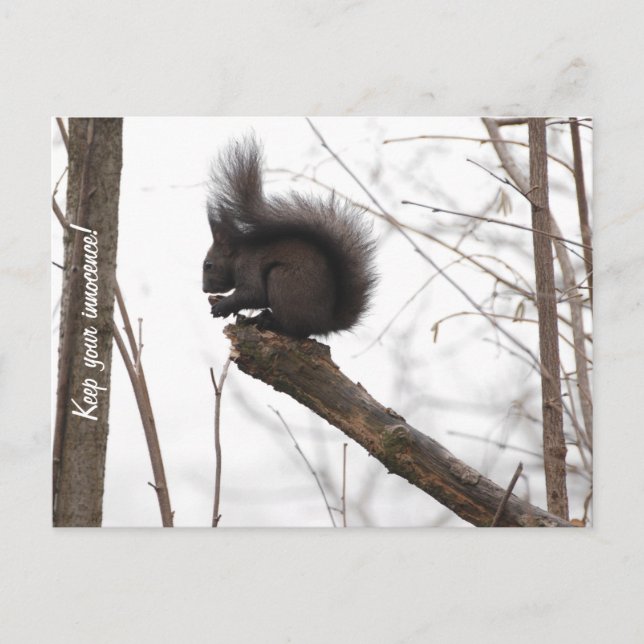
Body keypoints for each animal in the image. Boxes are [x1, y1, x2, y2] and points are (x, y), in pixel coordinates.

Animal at [202, 136, 377, 338]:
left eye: (208, 265)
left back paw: (270, 321)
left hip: (283, 280)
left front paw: (223, 306)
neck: (239, 255)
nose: (204, 289)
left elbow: (254, 294)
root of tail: (324, 323)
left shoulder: (249, 267)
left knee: (296, 329)